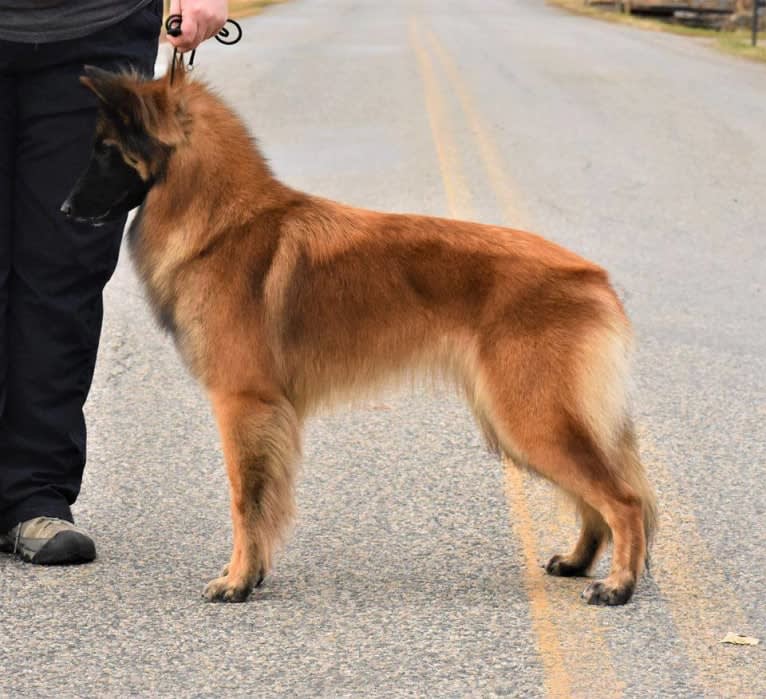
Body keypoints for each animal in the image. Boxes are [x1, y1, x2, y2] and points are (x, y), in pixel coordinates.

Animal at [63, 63, 656, 604]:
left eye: (107, 150)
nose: (64, 209)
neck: (223, 222)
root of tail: (593, 275)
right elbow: (262, 501)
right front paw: (249, 574)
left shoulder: (243, 404)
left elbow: (244, 500)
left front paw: (237, 581)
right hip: (523, 423)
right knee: (597, 500)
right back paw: (579, 562)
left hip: (529, 419)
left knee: (625, 501)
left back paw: (618, 585)